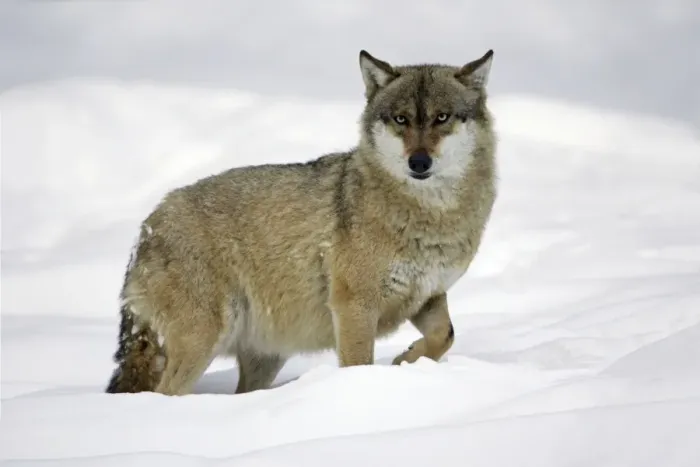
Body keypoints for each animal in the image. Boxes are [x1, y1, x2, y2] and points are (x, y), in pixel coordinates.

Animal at [105, 48, 498, 396]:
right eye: (401, 120)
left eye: (442, 118)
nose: (418, 162)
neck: (430, 217)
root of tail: (146, 228)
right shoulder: (354, 306)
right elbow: (359, 363)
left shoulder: (427, 295)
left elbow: (445, 335)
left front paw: (407, 359)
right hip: (203, 340)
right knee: (165, 393)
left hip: (264, 357)